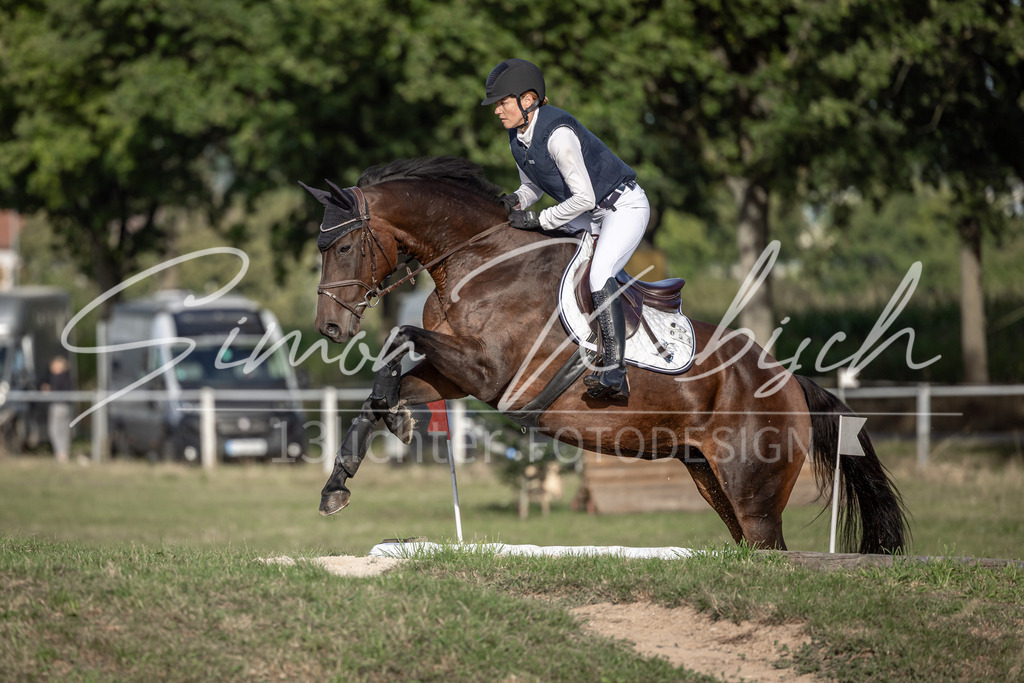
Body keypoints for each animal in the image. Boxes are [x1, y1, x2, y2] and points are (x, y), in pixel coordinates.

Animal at [302, 156, 909, 553]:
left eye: (346, 246)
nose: (330, 326)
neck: (478, 260)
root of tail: (789, 383)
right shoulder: (459, 375)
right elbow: (386, 385)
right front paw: (340, 482)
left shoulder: (489, 370)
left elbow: (398, 336)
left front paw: (398, 419)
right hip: (710, 477)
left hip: (753, 491)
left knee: (769, 548)